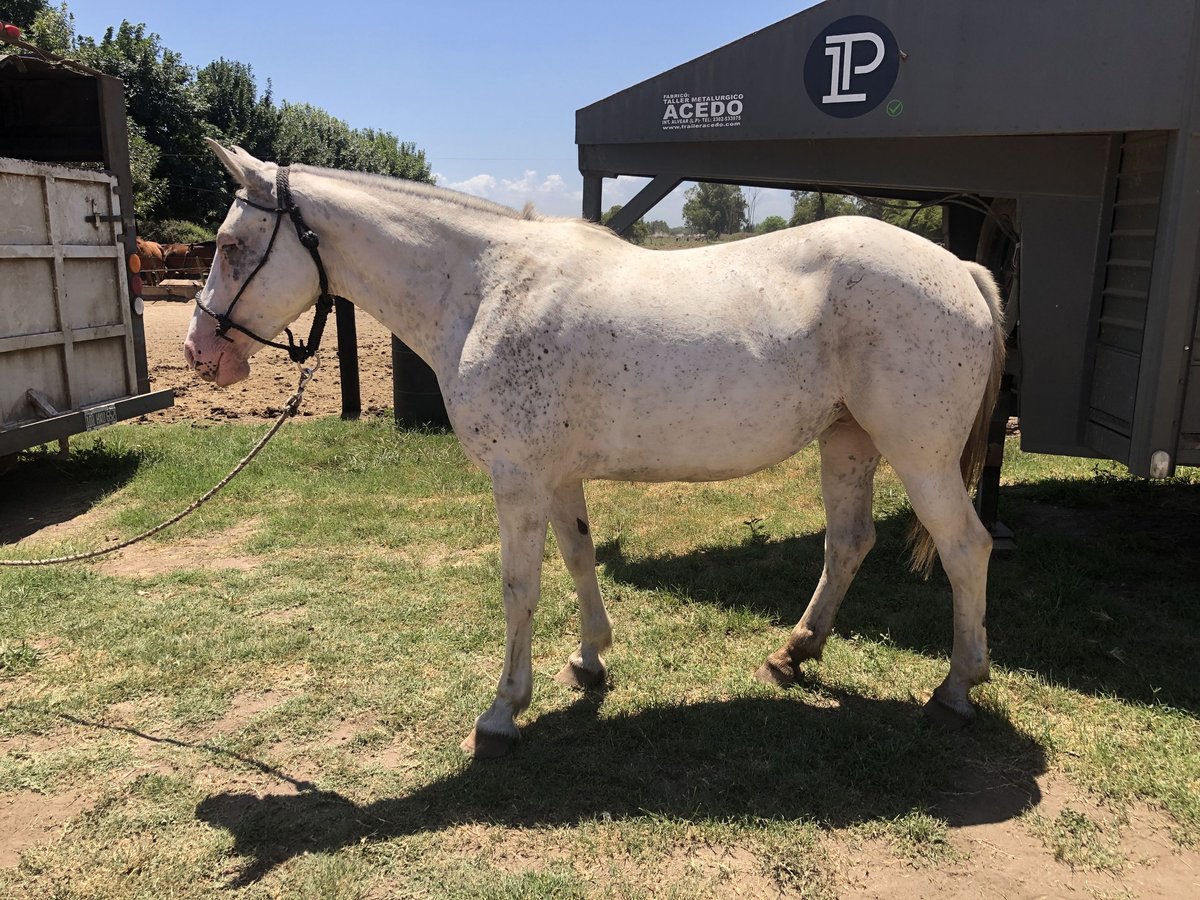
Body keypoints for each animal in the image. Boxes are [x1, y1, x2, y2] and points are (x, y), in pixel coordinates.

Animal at [184, 142, 1003, 763]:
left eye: (229, 246)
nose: (199, 353)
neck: (486, 289)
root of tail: (960, 270)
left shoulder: (516, 481)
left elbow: (520, 588)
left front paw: (503, 712)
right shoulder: (556, 477)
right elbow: (579, 557)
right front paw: (589, 661)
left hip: (919, 457)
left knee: (966, 548)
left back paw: (957, 688)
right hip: (848, 442)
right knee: (848, 542)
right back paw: (795, 652)